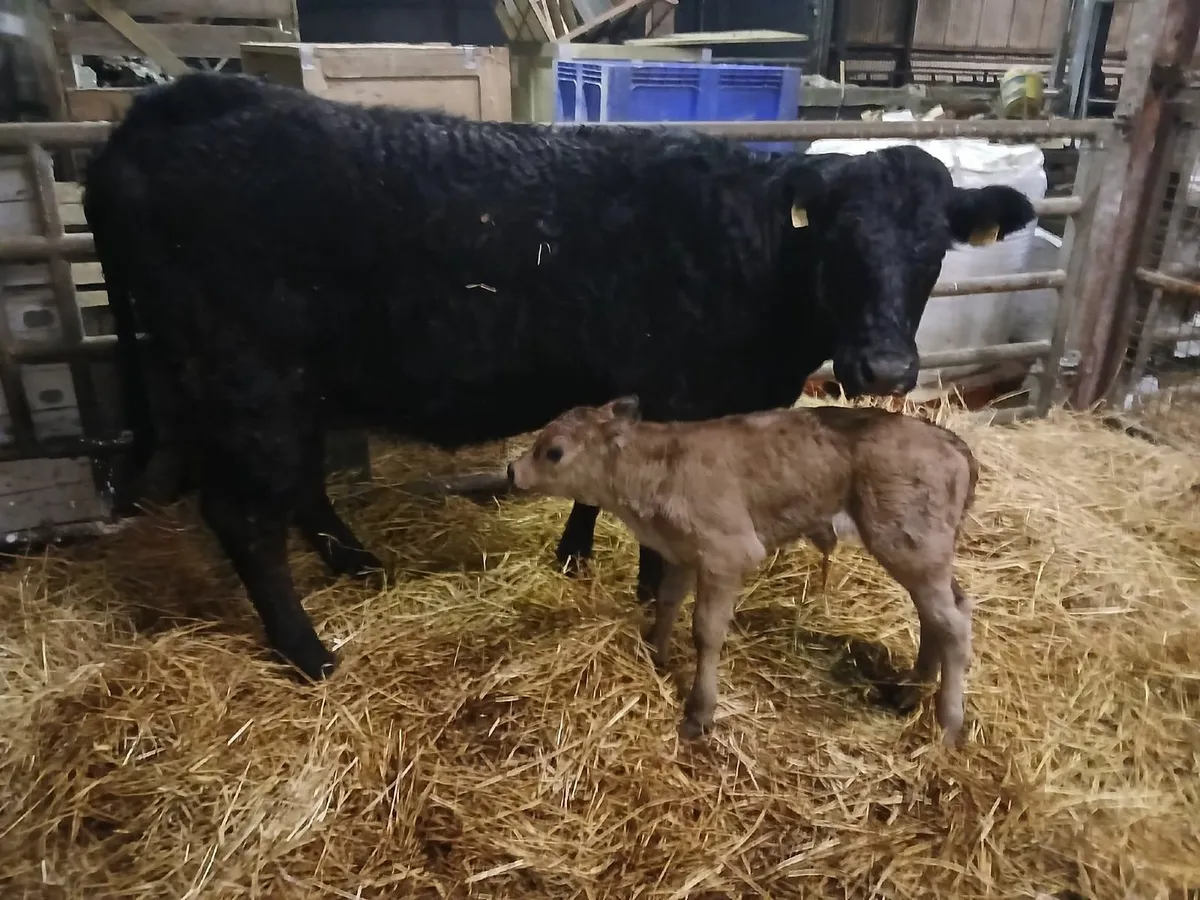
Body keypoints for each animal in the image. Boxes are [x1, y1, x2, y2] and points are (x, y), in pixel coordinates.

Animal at [82, 71, 1033, 682]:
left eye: (934, 247)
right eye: (837, 239)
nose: (884, 365)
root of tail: (179, 103)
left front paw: (573, 554)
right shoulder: (683, 396)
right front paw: (649, 608)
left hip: (277, 387)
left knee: (296, 490)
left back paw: (359, 566)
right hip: (249, 380)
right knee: (244, 515)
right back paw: (310, 654)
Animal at [507, 397, 980, 746]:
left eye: (554, 451)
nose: (512, 470)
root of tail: (951, 442)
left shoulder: (726, 554)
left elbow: (706, 631)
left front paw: (698, 713)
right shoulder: (681, 553)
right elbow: (667, 600)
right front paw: (656, 655)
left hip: (909, 543)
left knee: (953, 623)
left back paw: (947, 725)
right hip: (923, 553)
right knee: (941, 612)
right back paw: (910, 690)